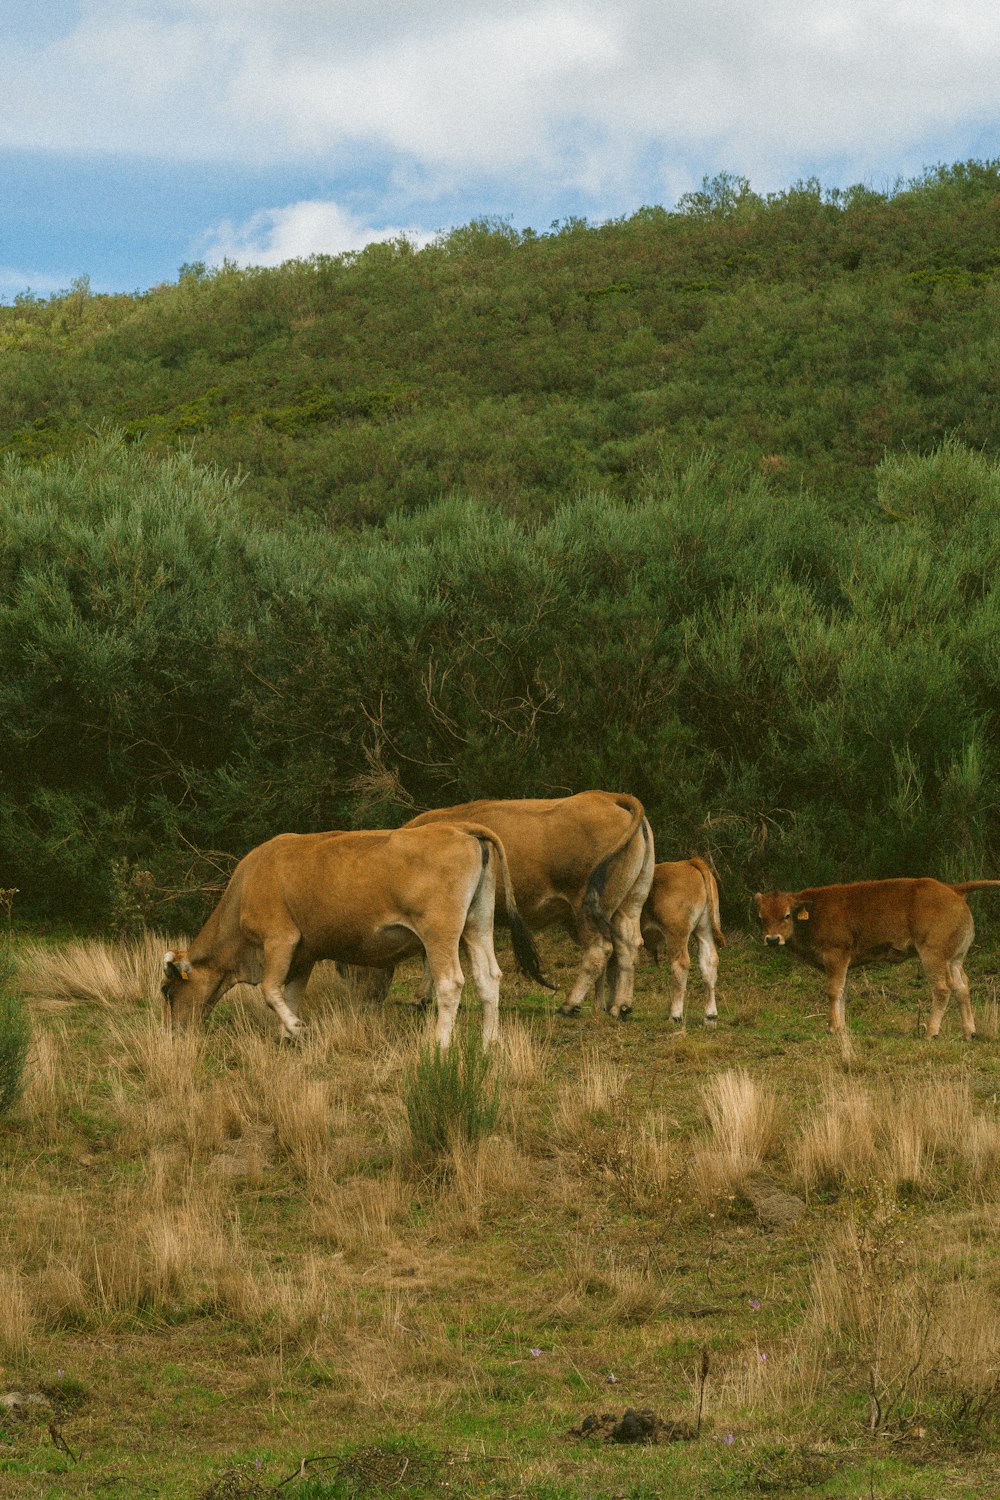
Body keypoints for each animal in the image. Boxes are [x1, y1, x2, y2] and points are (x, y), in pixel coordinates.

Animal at [160, 822, 548, 1044]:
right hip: (476, 926)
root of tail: (463, 830)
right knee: (488, 979)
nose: (173, 1034)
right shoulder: (304, 955)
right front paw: (287, 1037)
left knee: (450, 983)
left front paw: (296, 1028)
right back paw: (488, 1044)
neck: (248, 883)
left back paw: (439, 1044)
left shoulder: (279, 941)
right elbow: (290, 993)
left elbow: (271, 991)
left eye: (167, 989)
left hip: (440, 933)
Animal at [398, 792, 656, 1014]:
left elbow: (430, 958)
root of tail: (607, 796)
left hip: (587, 909)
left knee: (599, 950)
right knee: (627, 946)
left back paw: (570, 1004)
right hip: (628, 905)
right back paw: (618, 1006)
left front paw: (419, 999)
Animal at [641, 864, 728, 1026]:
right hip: (704, 930)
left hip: (676, 933)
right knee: (709, 963)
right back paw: (710, 1016)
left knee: (680, 964)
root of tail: (688, 862)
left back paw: (675, 1015)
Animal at [755, 876, 1000, 1044]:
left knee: (942, 988)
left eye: (787, 915)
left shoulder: (836, 955)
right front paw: (842, 1027)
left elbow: (833, 991)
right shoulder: (844, 963)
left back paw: (931, 1033)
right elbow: (843, 992)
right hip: (955, 959)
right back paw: (970, 1033)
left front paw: (833, 1028)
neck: (814, 910)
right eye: (761, 917)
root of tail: (953, 889)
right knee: (962, 987)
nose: (772, 939)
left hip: (933, 955)